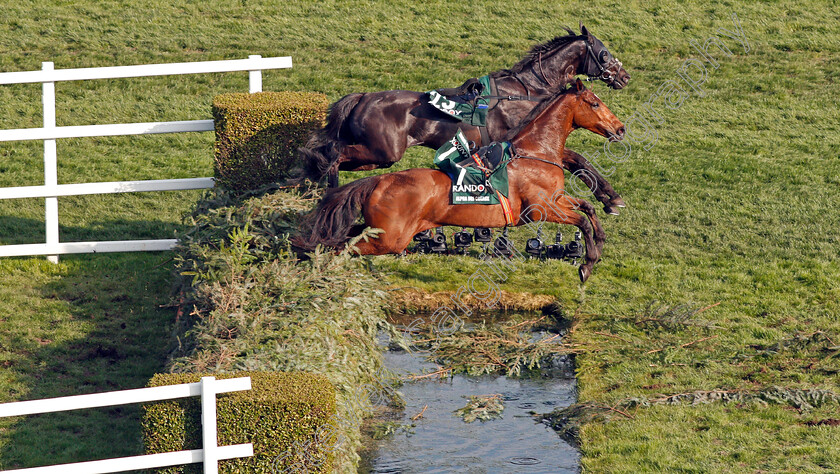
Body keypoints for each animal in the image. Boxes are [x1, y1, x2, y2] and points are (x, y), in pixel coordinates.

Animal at [298, 79, 628, 284]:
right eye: (594, 103)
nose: (621, 128)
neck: (536, 151)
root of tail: (379, 181)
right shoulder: (541, 209)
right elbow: (582, 220)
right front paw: (587, 263)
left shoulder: (557, 200)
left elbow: (587, 209)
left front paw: (602, 232)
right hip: (389, 235)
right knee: (342, 242)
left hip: (379, 227)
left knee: (341, 237)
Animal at [302, 23, 632, 213]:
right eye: (604, 53)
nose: (624, 76)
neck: (528, 91)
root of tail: (362, 97)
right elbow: (579, 159)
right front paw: (612, 198)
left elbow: (577, 161)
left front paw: (609, 198)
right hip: (382, 153)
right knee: (334, 154)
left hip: (374, 157)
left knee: (331, 155)